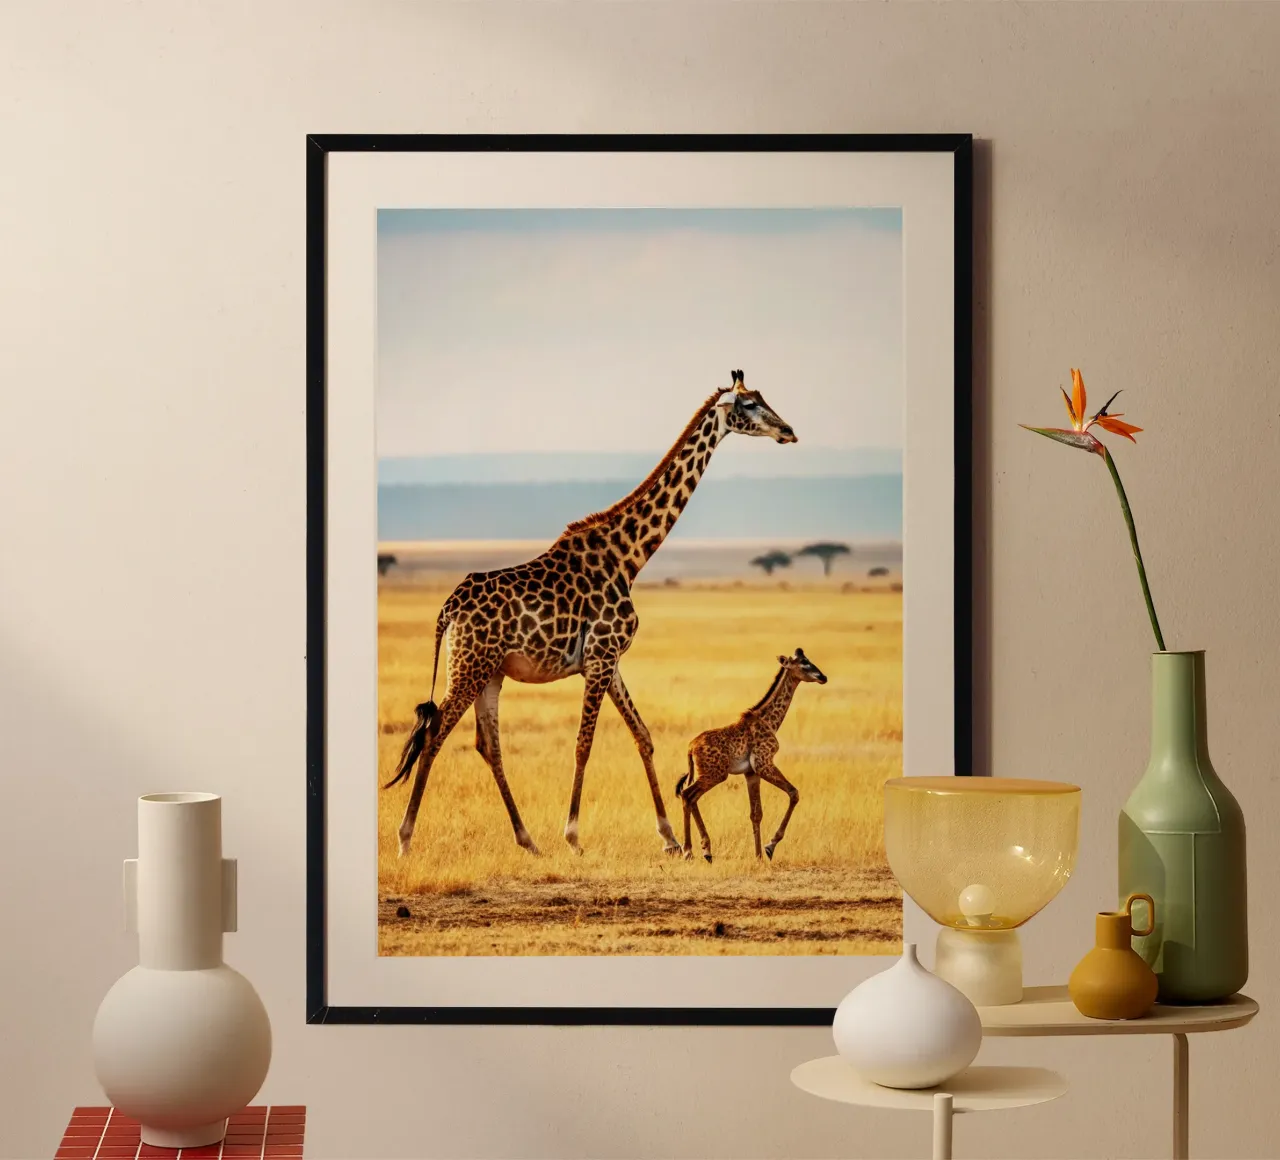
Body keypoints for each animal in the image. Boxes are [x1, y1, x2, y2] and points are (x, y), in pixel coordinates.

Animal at [385, 370, 798, 858]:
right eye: (750, 404)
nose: (788, 431)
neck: (629, 556)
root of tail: (449, 608)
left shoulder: (609, 660)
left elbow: (643, 736)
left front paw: (670, 838)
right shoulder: (600, 658)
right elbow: (584, 744)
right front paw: (574, 837)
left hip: (490, 672)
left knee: (488, 745)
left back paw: (527, 840)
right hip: (469, 666)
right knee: (435, 734)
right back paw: (405, 839)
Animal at [674, 648, 828, 863]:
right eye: (804, 662)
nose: (823, 677)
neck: (769, 721)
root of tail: (690, 747)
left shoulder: (751, 773)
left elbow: (756, 813)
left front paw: (758, 855)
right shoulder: (764, 764)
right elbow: (794, 793)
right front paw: (770, 847)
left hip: (707, 774)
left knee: (691, 797)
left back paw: (706, 851)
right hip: (715, 774)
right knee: (687, 795)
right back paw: (690, 851)